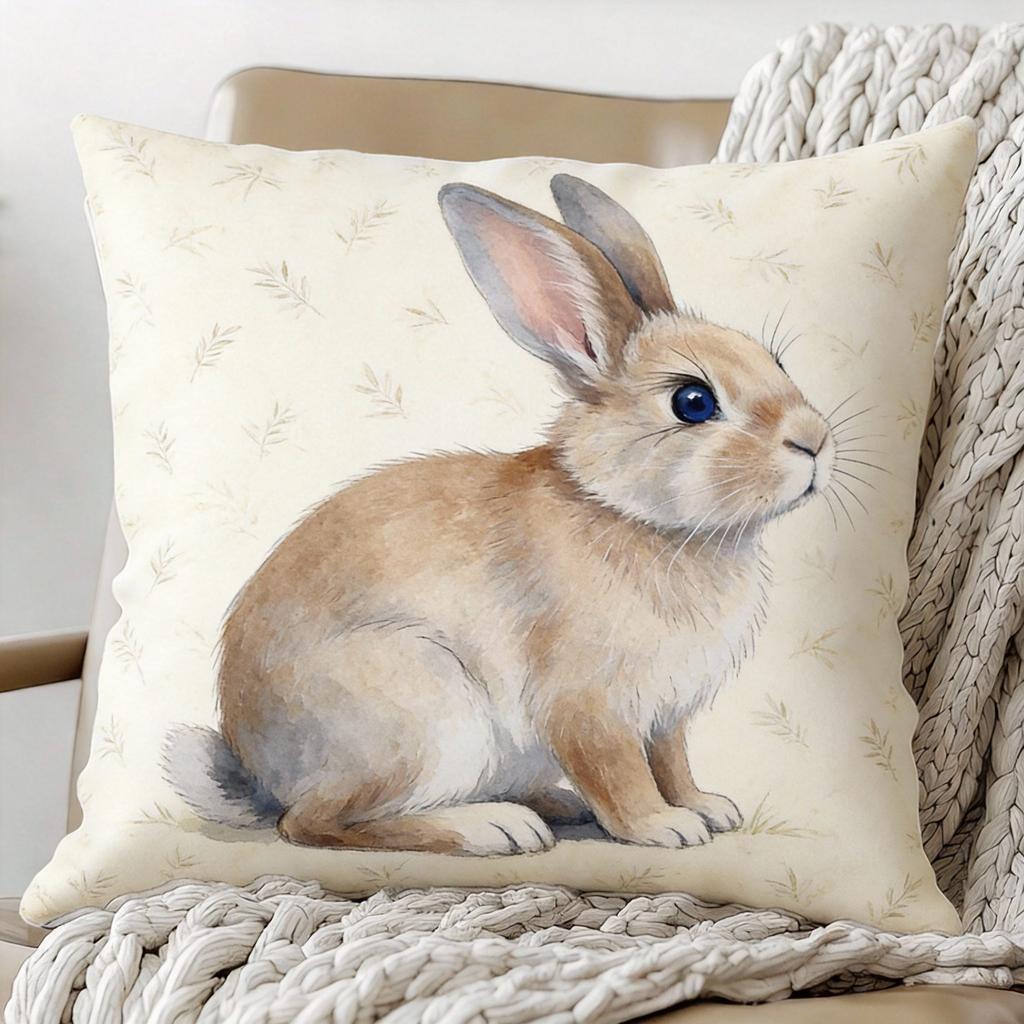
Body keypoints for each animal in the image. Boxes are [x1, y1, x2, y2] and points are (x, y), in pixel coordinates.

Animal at [165, 173, 834, 855]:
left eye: (775, 362)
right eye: (693, 402)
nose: (814, 440)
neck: (631, 513)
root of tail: (259, 772)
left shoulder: (665, 715)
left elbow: (671, 762)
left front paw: (706, 807)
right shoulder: (587, 704)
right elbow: (620, 775)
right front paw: (663, 827)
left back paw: (554, 806)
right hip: (423, 709)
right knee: (315, 822)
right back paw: (493, 828)